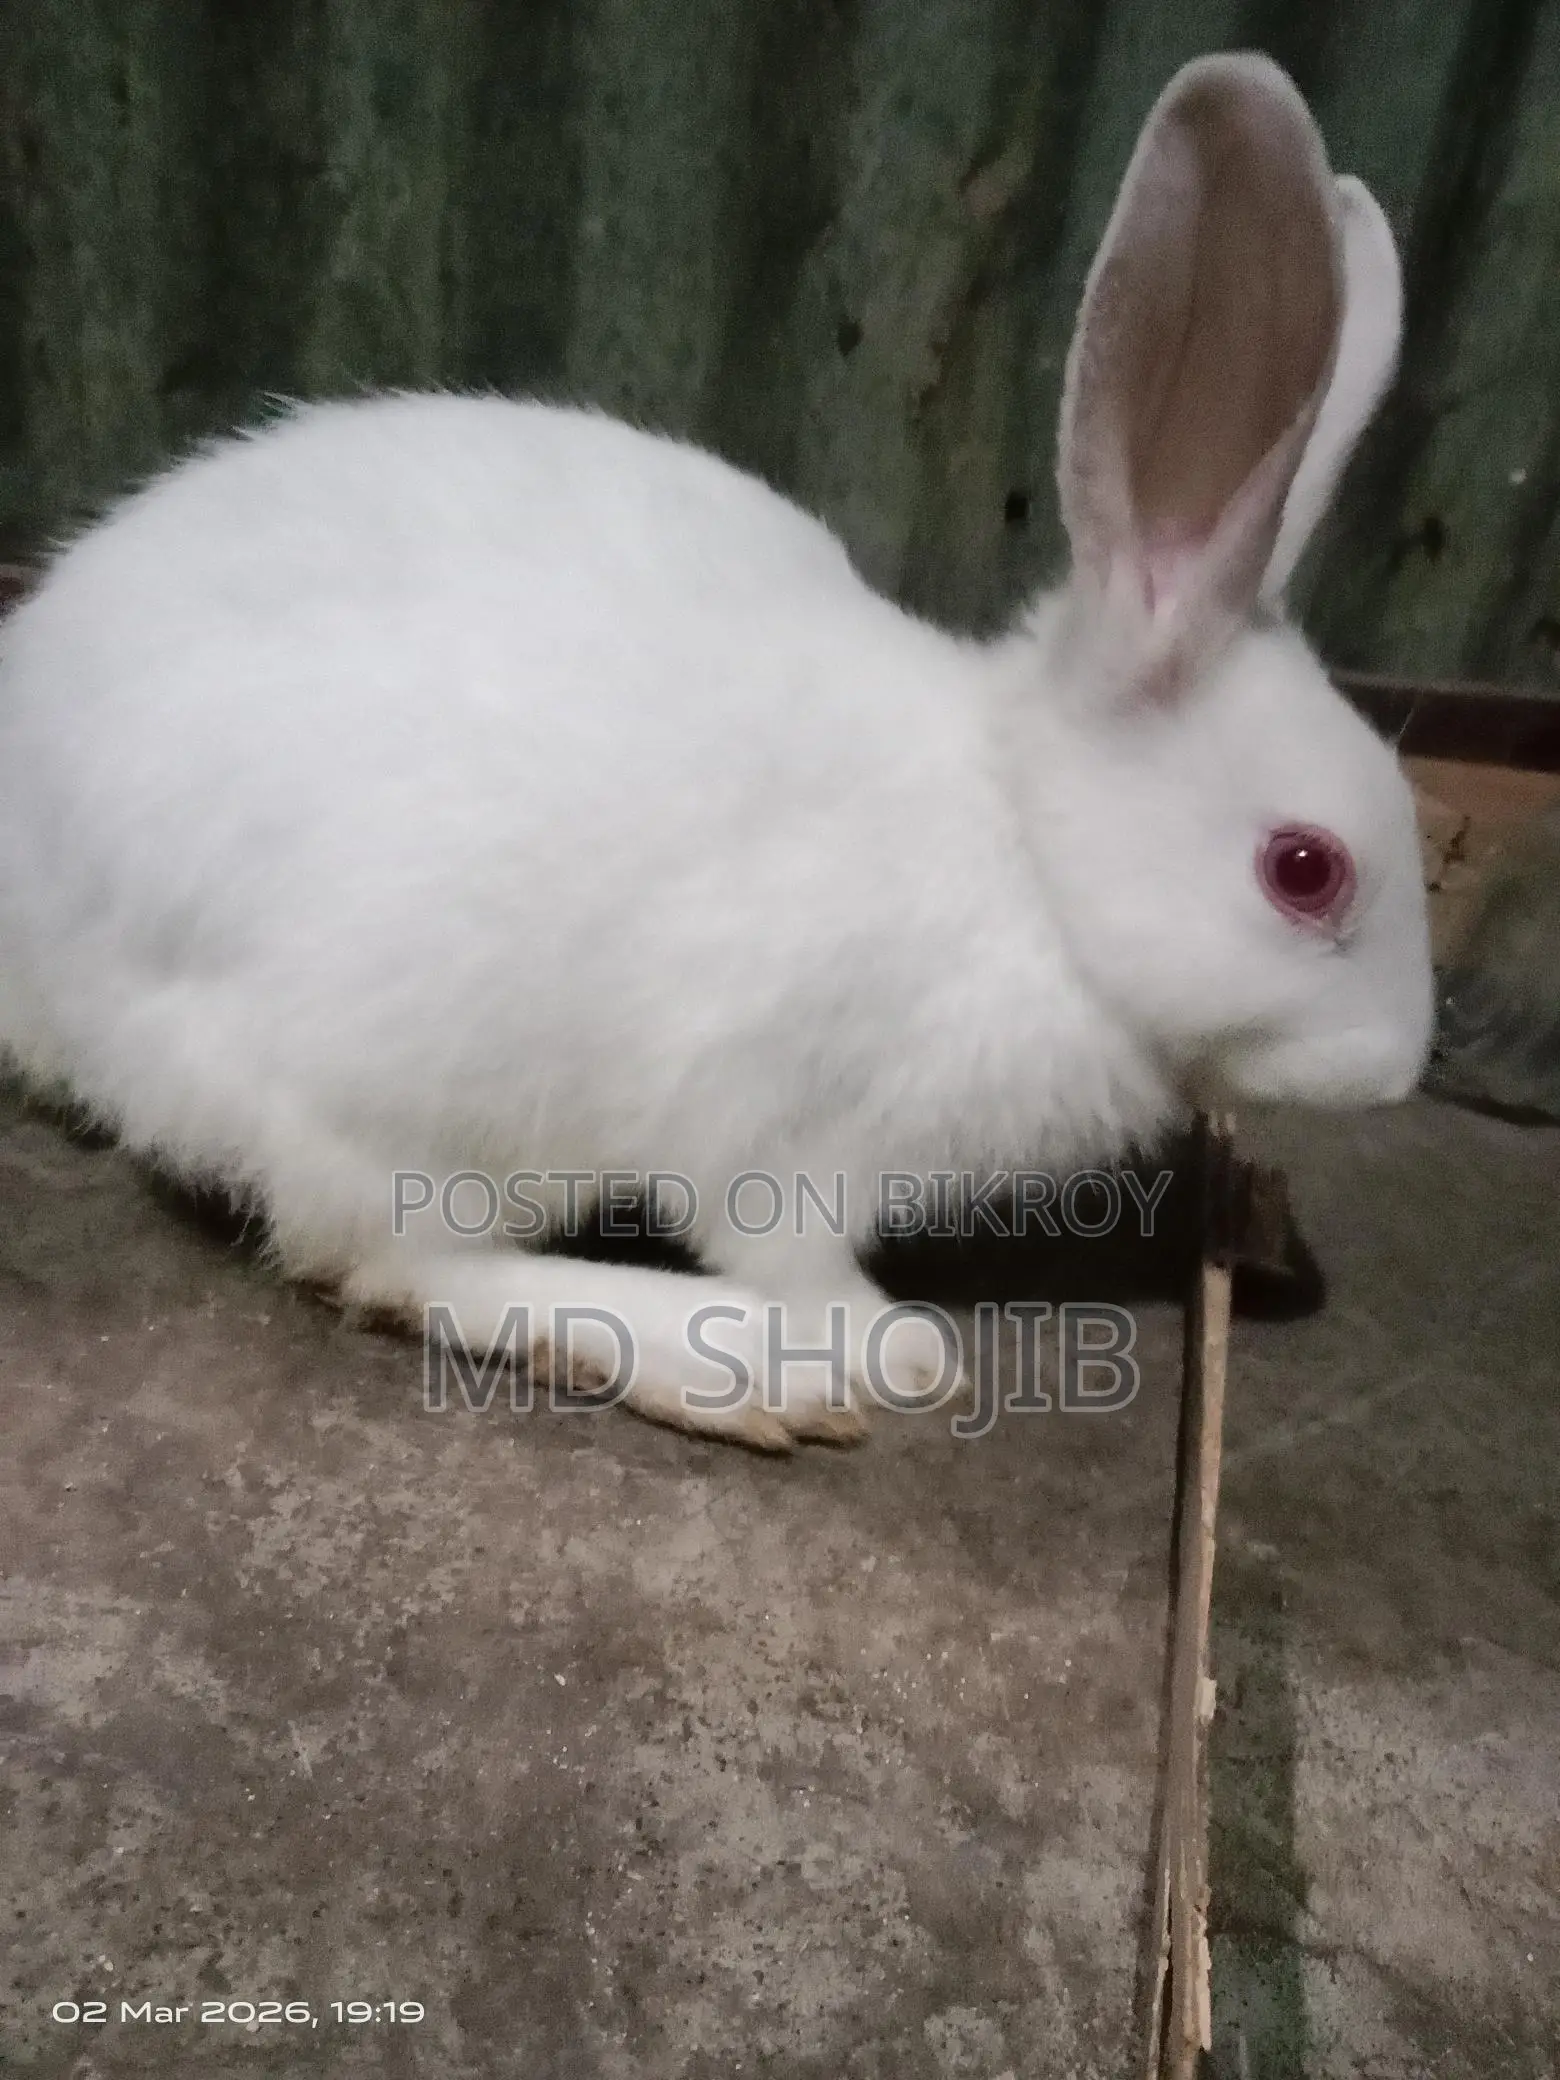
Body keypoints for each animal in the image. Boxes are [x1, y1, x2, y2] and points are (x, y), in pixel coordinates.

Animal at [0, 53, 1431, 1451]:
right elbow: (782, 1244)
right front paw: (890, 1347)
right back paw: (738, 1367)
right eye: (1305, 869)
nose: (1399, 1068)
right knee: (402, 1263)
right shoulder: (783, 1129)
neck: (1023, 853)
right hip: (393, 1084)